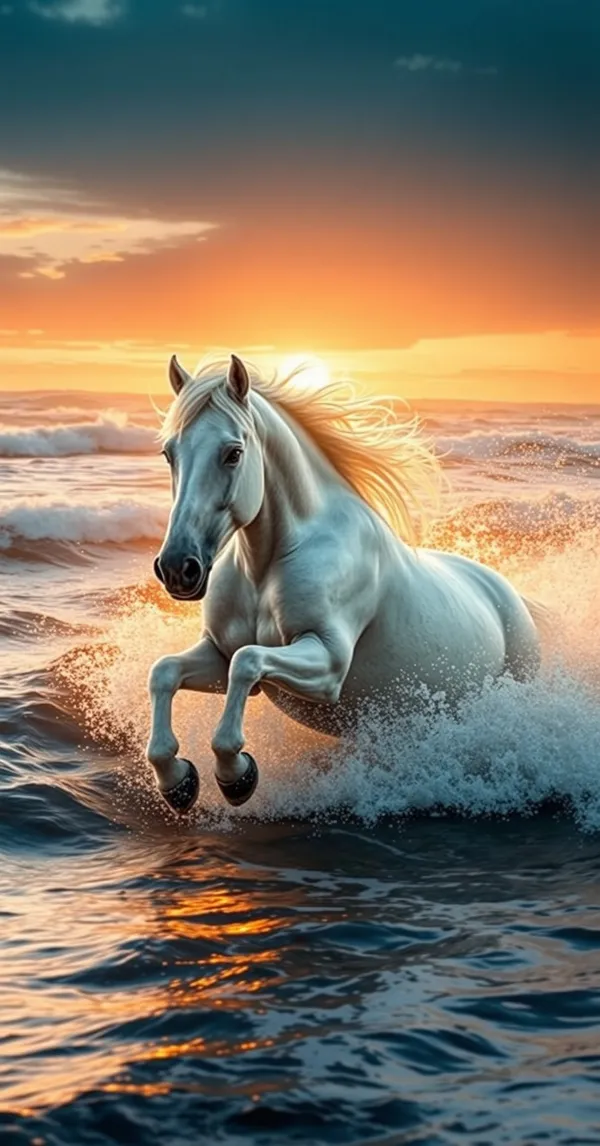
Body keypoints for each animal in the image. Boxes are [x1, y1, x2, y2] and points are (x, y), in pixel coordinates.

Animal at [146, 353, 543, 813]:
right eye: (169, 453)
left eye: (233, 453)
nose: (178, 568)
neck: (266, 566)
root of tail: (511, 596)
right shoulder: (217, 653)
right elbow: (164, 671)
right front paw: (178, 782)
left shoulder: (328, 662)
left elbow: (248, 663)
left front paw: (237, 776)